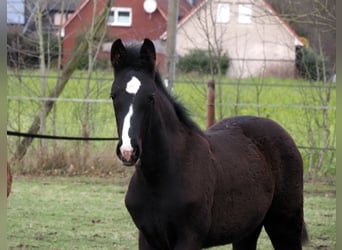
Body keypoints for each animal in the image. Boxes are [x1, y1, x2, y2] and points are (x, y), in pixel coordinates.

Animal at [109, 38, 308, 249]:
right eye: (113, 95)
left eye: (151, 97)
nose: (128, 151)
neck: (160, 177)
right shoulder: (147, 238)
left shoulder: (190, 238)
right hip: (247, 230)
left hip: (285, 224)